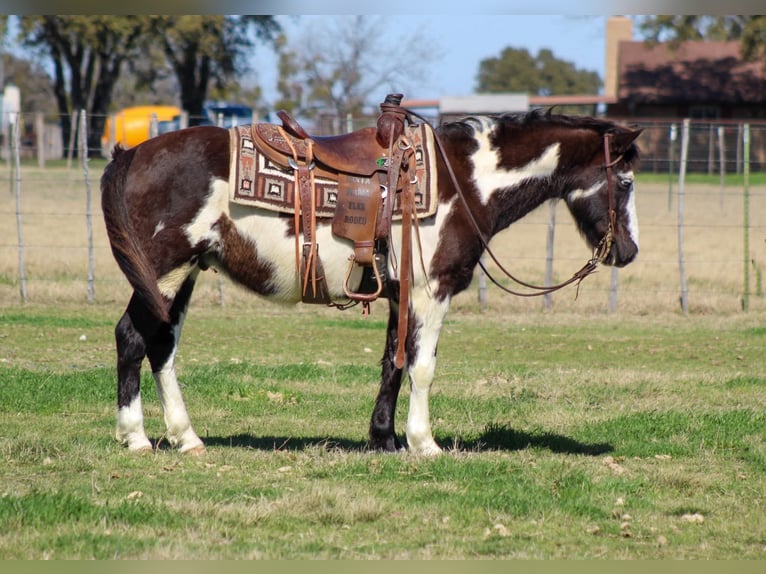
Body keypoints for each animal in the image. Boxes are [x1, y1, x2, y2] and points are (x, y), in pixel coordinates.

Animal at [100, 109, 640, 460]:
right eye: (627, 181)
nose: (628, 251)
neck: (465, 180)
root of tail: (134, 153)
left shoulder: (401, 296)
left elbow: (393, 365)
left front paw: (383, 439)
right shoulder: (431, 291)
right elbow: (422, 367)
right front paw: (424, 443)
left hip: (185, 274)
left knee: (162, 347)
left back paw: (186, 437)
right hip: (164, 273)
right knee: (133, 338)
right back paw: (137, 437)